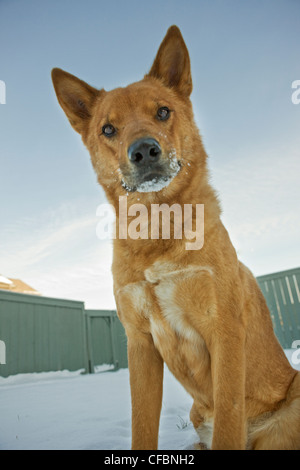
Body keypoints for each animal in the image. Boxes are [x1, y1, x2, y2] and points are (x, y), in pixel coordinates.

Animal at [51, 24, 300, 448]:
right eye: (108, 129)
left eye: (163, 111)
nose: (144, 151)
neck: (158, 230)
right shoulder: (140, 344)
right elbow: (142, 427)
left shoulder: (224, 331)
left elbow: (229, 421)